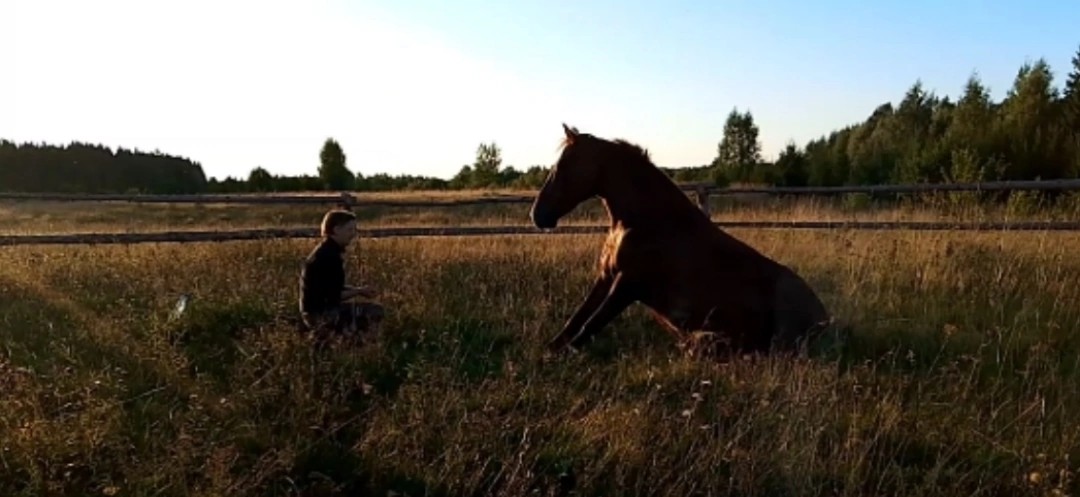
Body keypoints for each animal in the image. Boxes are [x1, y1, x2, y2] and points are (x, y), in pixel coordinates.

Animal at [530, 123, 833, 358]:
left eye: (563, 166)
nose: (537, 215)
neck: (645, 222)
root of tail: (826, 320)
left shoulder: (627, 284)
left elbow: (590, 325)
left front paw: (557, 357)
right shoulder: (607, 277)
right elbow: (577, 318)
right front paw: (549, 349)